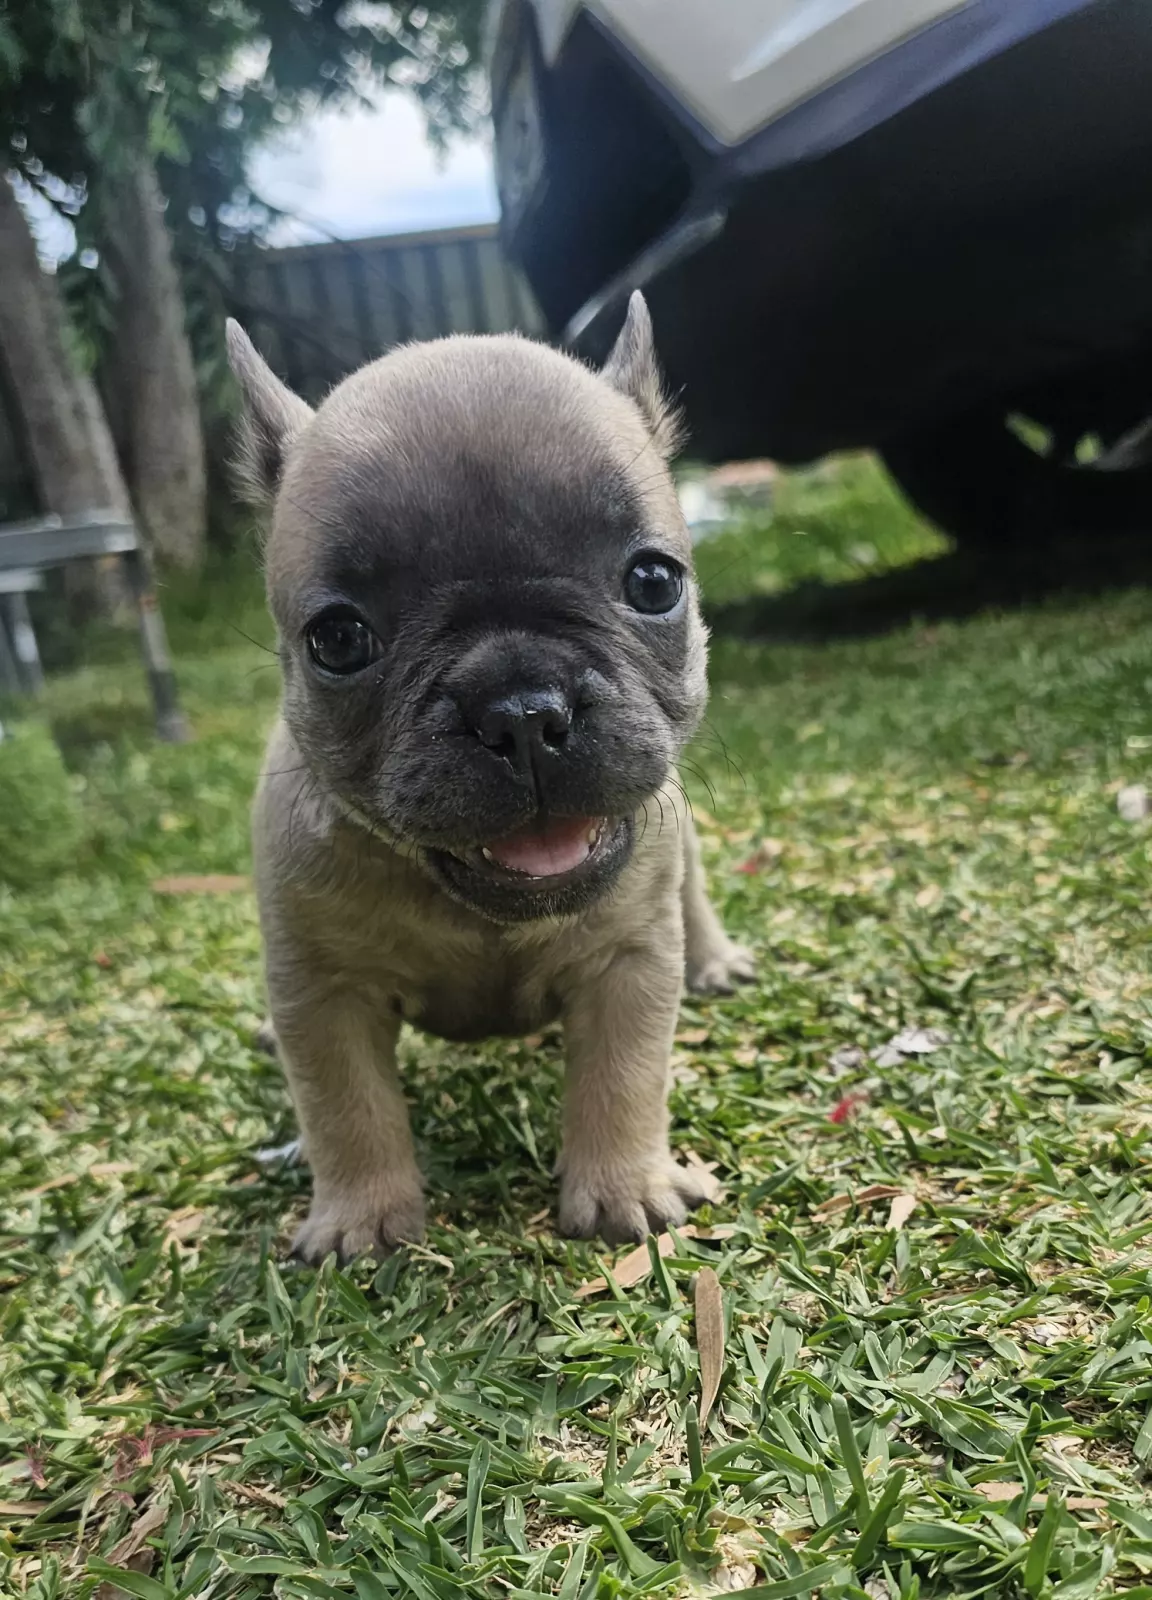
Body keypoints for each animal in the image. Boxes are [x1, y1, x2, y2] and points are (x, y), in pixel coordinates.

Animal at [226, 294, 753, 1261]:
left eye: (653, 582)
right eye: (338, 640)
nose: (523, 710)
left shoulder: (629, 962)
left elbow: (624, 1076)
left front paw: (624, 1189)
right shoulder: (323, 993)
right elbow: (345, 1108)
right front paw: (359, 1218)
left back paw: (715, 960)